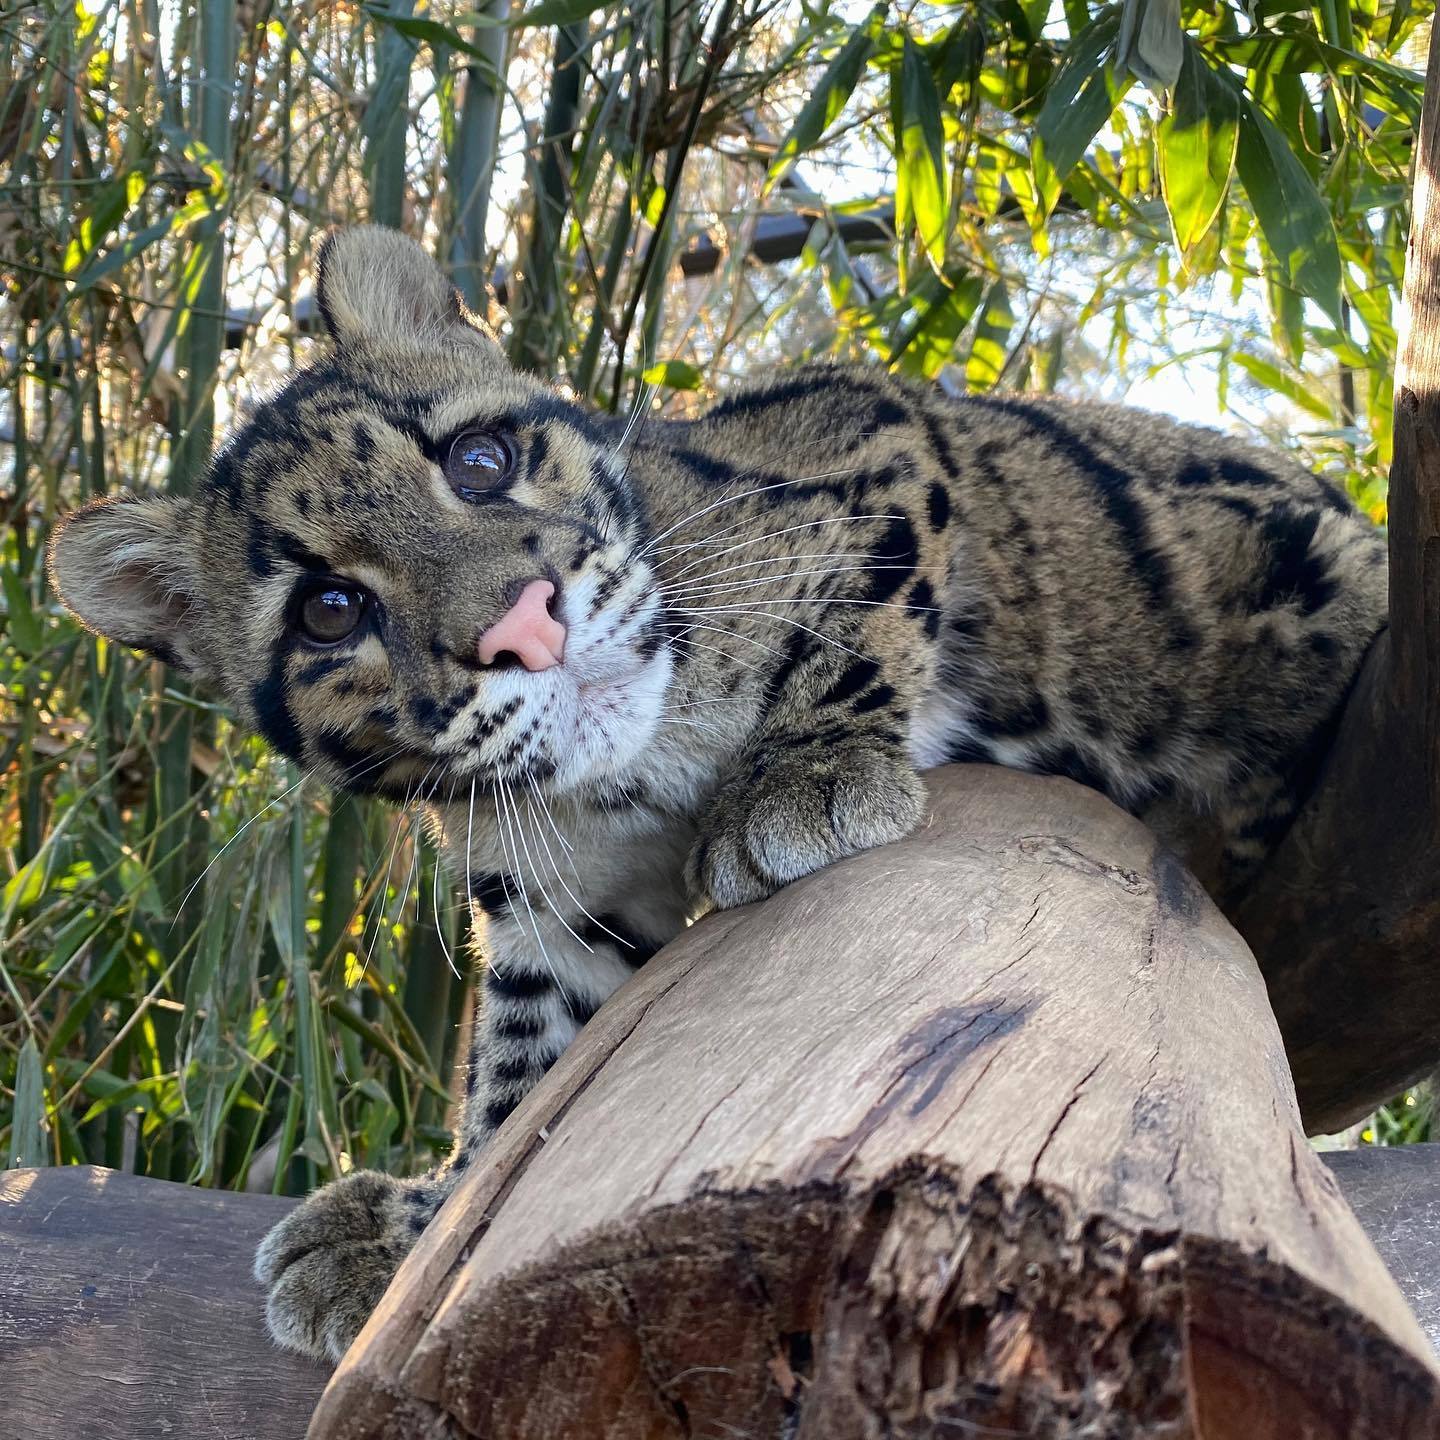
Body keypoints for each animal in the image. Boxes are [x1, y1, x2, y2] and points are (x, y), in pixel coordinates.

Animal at [50, 218, 1388, 1353]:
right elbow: (521, 1075)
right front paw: (427, 1218)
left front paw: (806, 769)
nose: (525, 627)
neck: (632, 771)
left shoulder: (873, 424)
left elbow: (865, 602)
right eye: (330, 609)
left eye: (479, 460)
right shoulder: (558, 909)